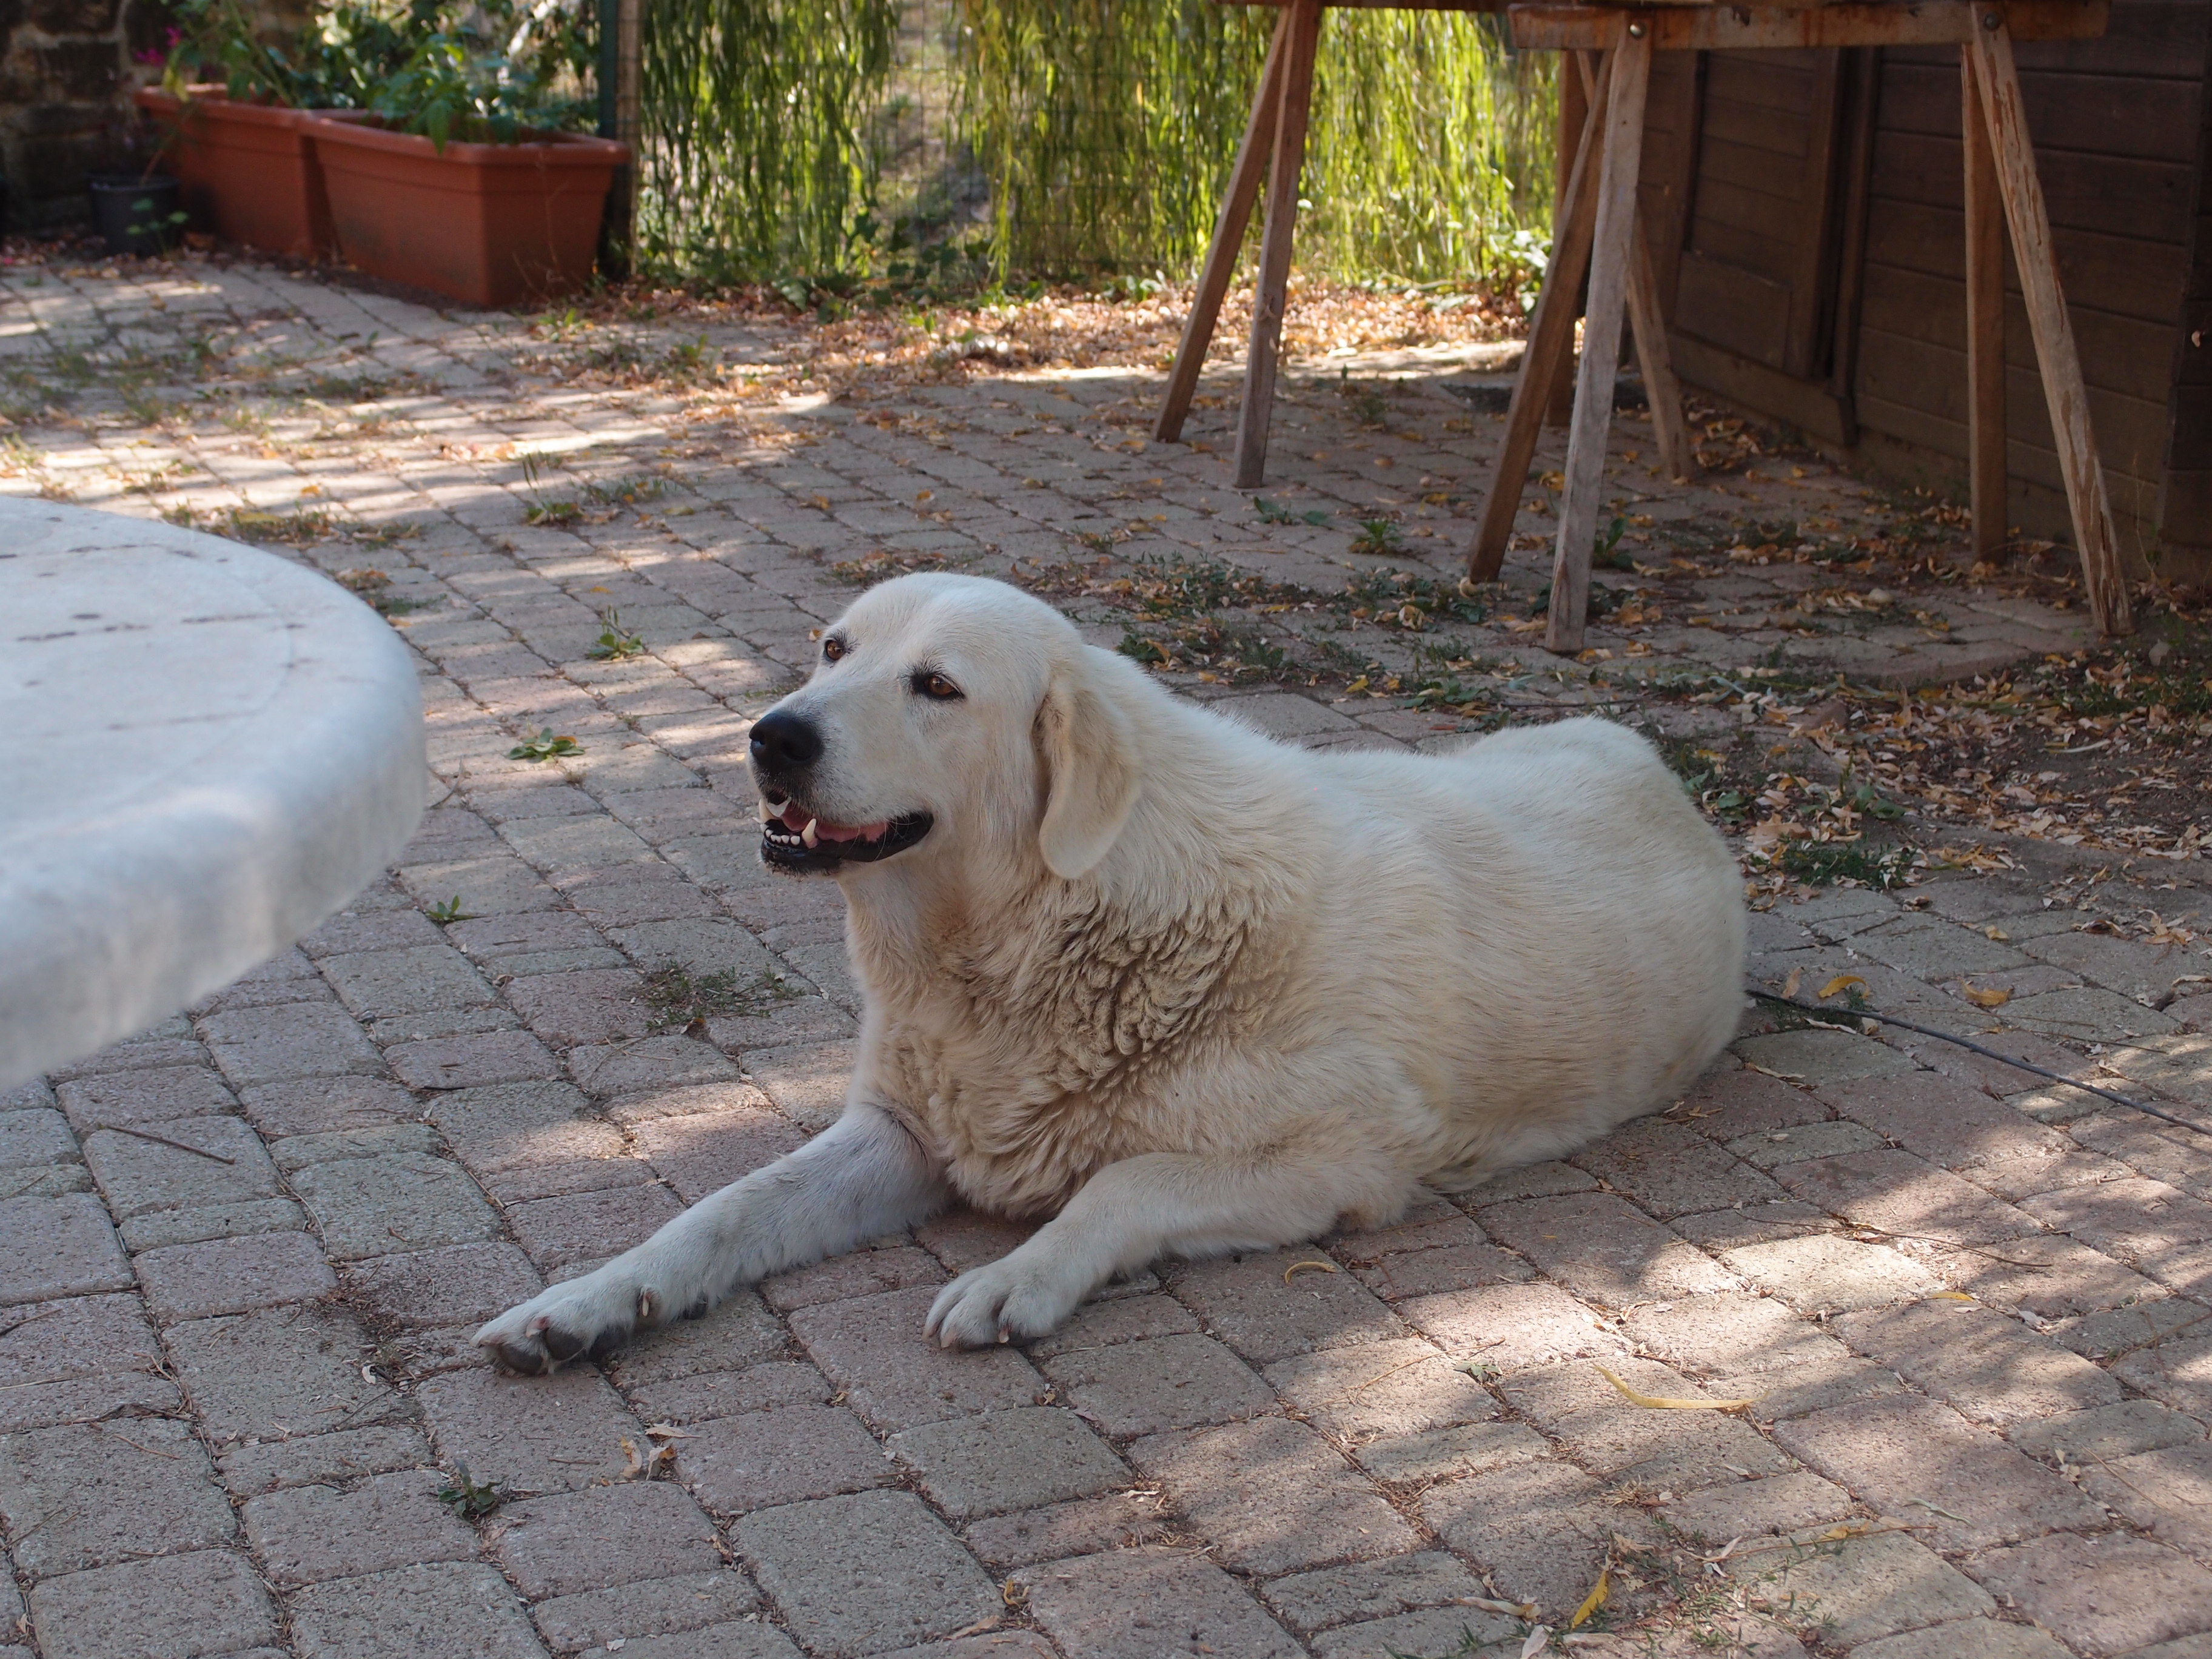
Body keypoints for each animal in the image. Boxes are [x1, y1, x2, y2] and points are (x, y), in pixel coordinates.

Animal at [480, 579, 1743, 1371]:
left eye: (936, 687)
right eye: (835, 650)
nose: (772, 736)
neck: (1024, 944)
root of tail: (1653, 764)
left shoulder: (1344, 1161)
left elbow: (1124, 1182)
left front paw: (1019, 1277)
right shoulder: (902, 1133)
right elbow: (720, 1210)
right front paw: (585, 1302)